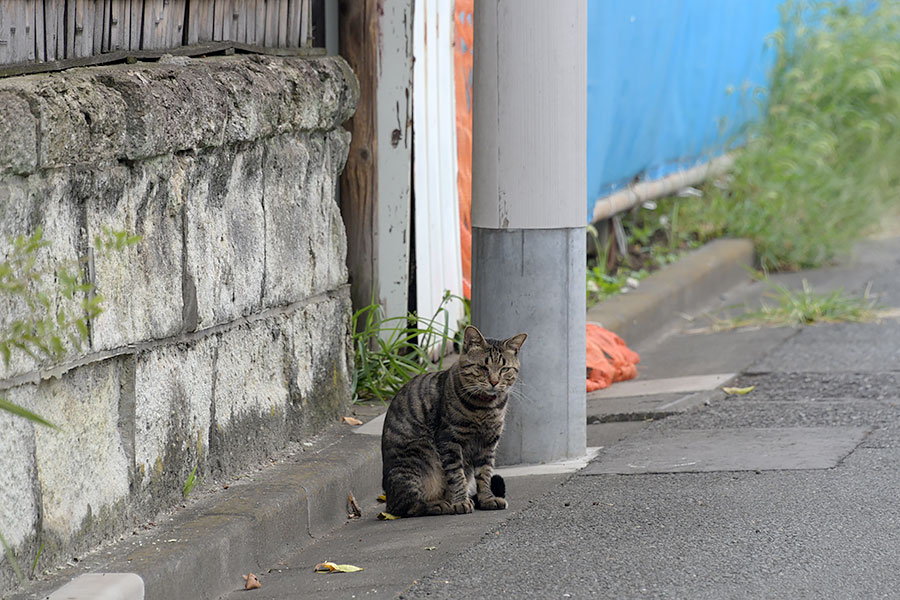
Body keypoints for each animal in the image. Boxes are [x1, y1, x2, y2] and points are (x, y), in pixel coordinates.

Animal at [380, 326, 528, 516]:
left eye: (504, 369)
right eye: (482, 367)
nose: (494, 382)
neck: (485, 408)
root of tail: (388, 499)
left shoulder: (488, 442)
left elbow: (485, 473)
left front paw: (487, 499)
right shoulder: (449, 440)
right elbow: (457, 475)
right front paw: (461, 501)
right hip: (419, 455)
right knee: (408, 506)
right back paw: (440, 504)